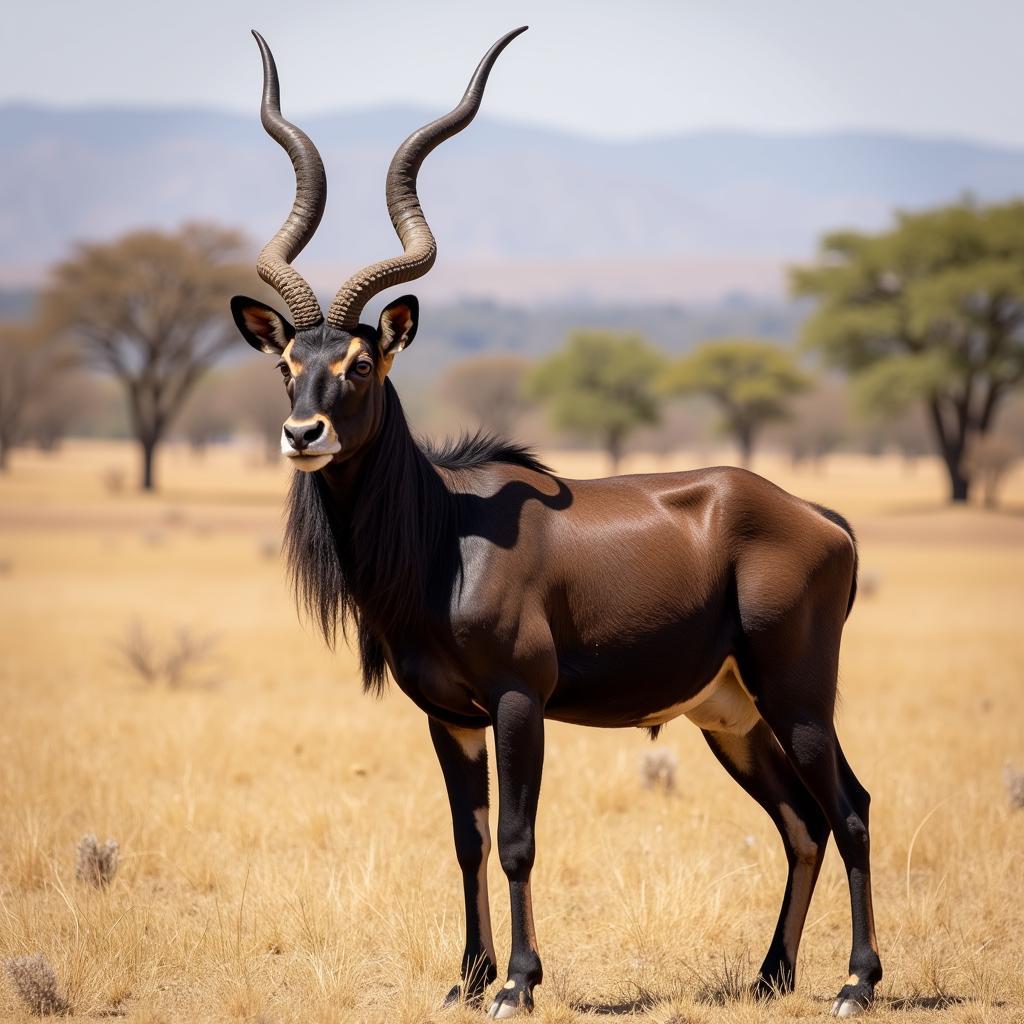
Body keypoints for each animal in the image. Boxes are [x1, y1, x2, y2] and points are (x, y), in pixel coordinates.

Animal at [230, 24, 880, 1015]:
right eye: (287, 364)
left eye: (360, 362)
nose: (303, 434)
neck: (445, 536)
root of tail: (816, 517)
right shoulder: (446, 717)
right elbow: (465, 839)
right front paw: (466, 980)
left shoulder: (516, 703)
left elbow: (516, 839)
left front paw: (517, 985)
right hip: (731, 716)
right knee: (801, 823)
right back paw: (771, 977)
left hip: (797, 697)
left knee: (850, 810)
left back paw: (855, 984)